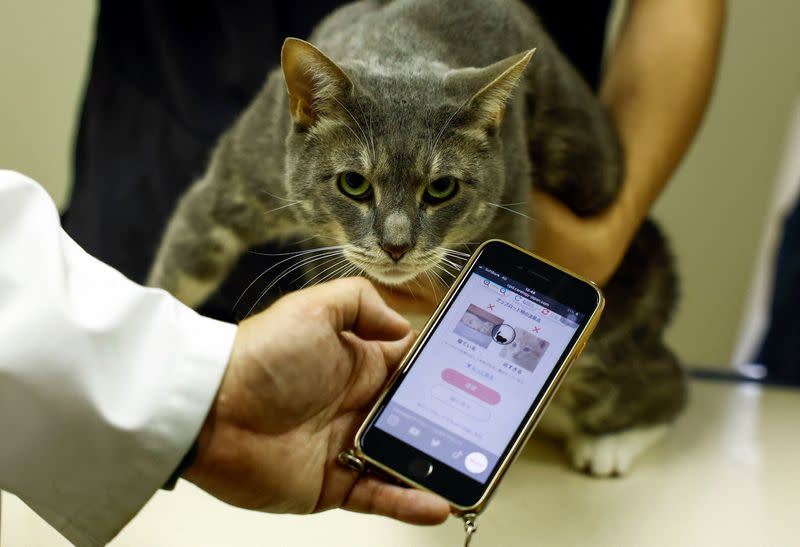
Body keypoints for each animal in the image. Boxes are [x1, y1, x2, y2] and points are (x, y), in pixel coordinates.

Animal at [148, 0, 688, 476]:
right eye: (353, 183)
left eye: (442, 188)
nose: (396, 245)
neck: (402, 43)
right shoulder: (236, 181)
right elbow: (179, 268)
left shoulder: (509, 213)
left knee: (667, 386)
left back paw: (611, 445)